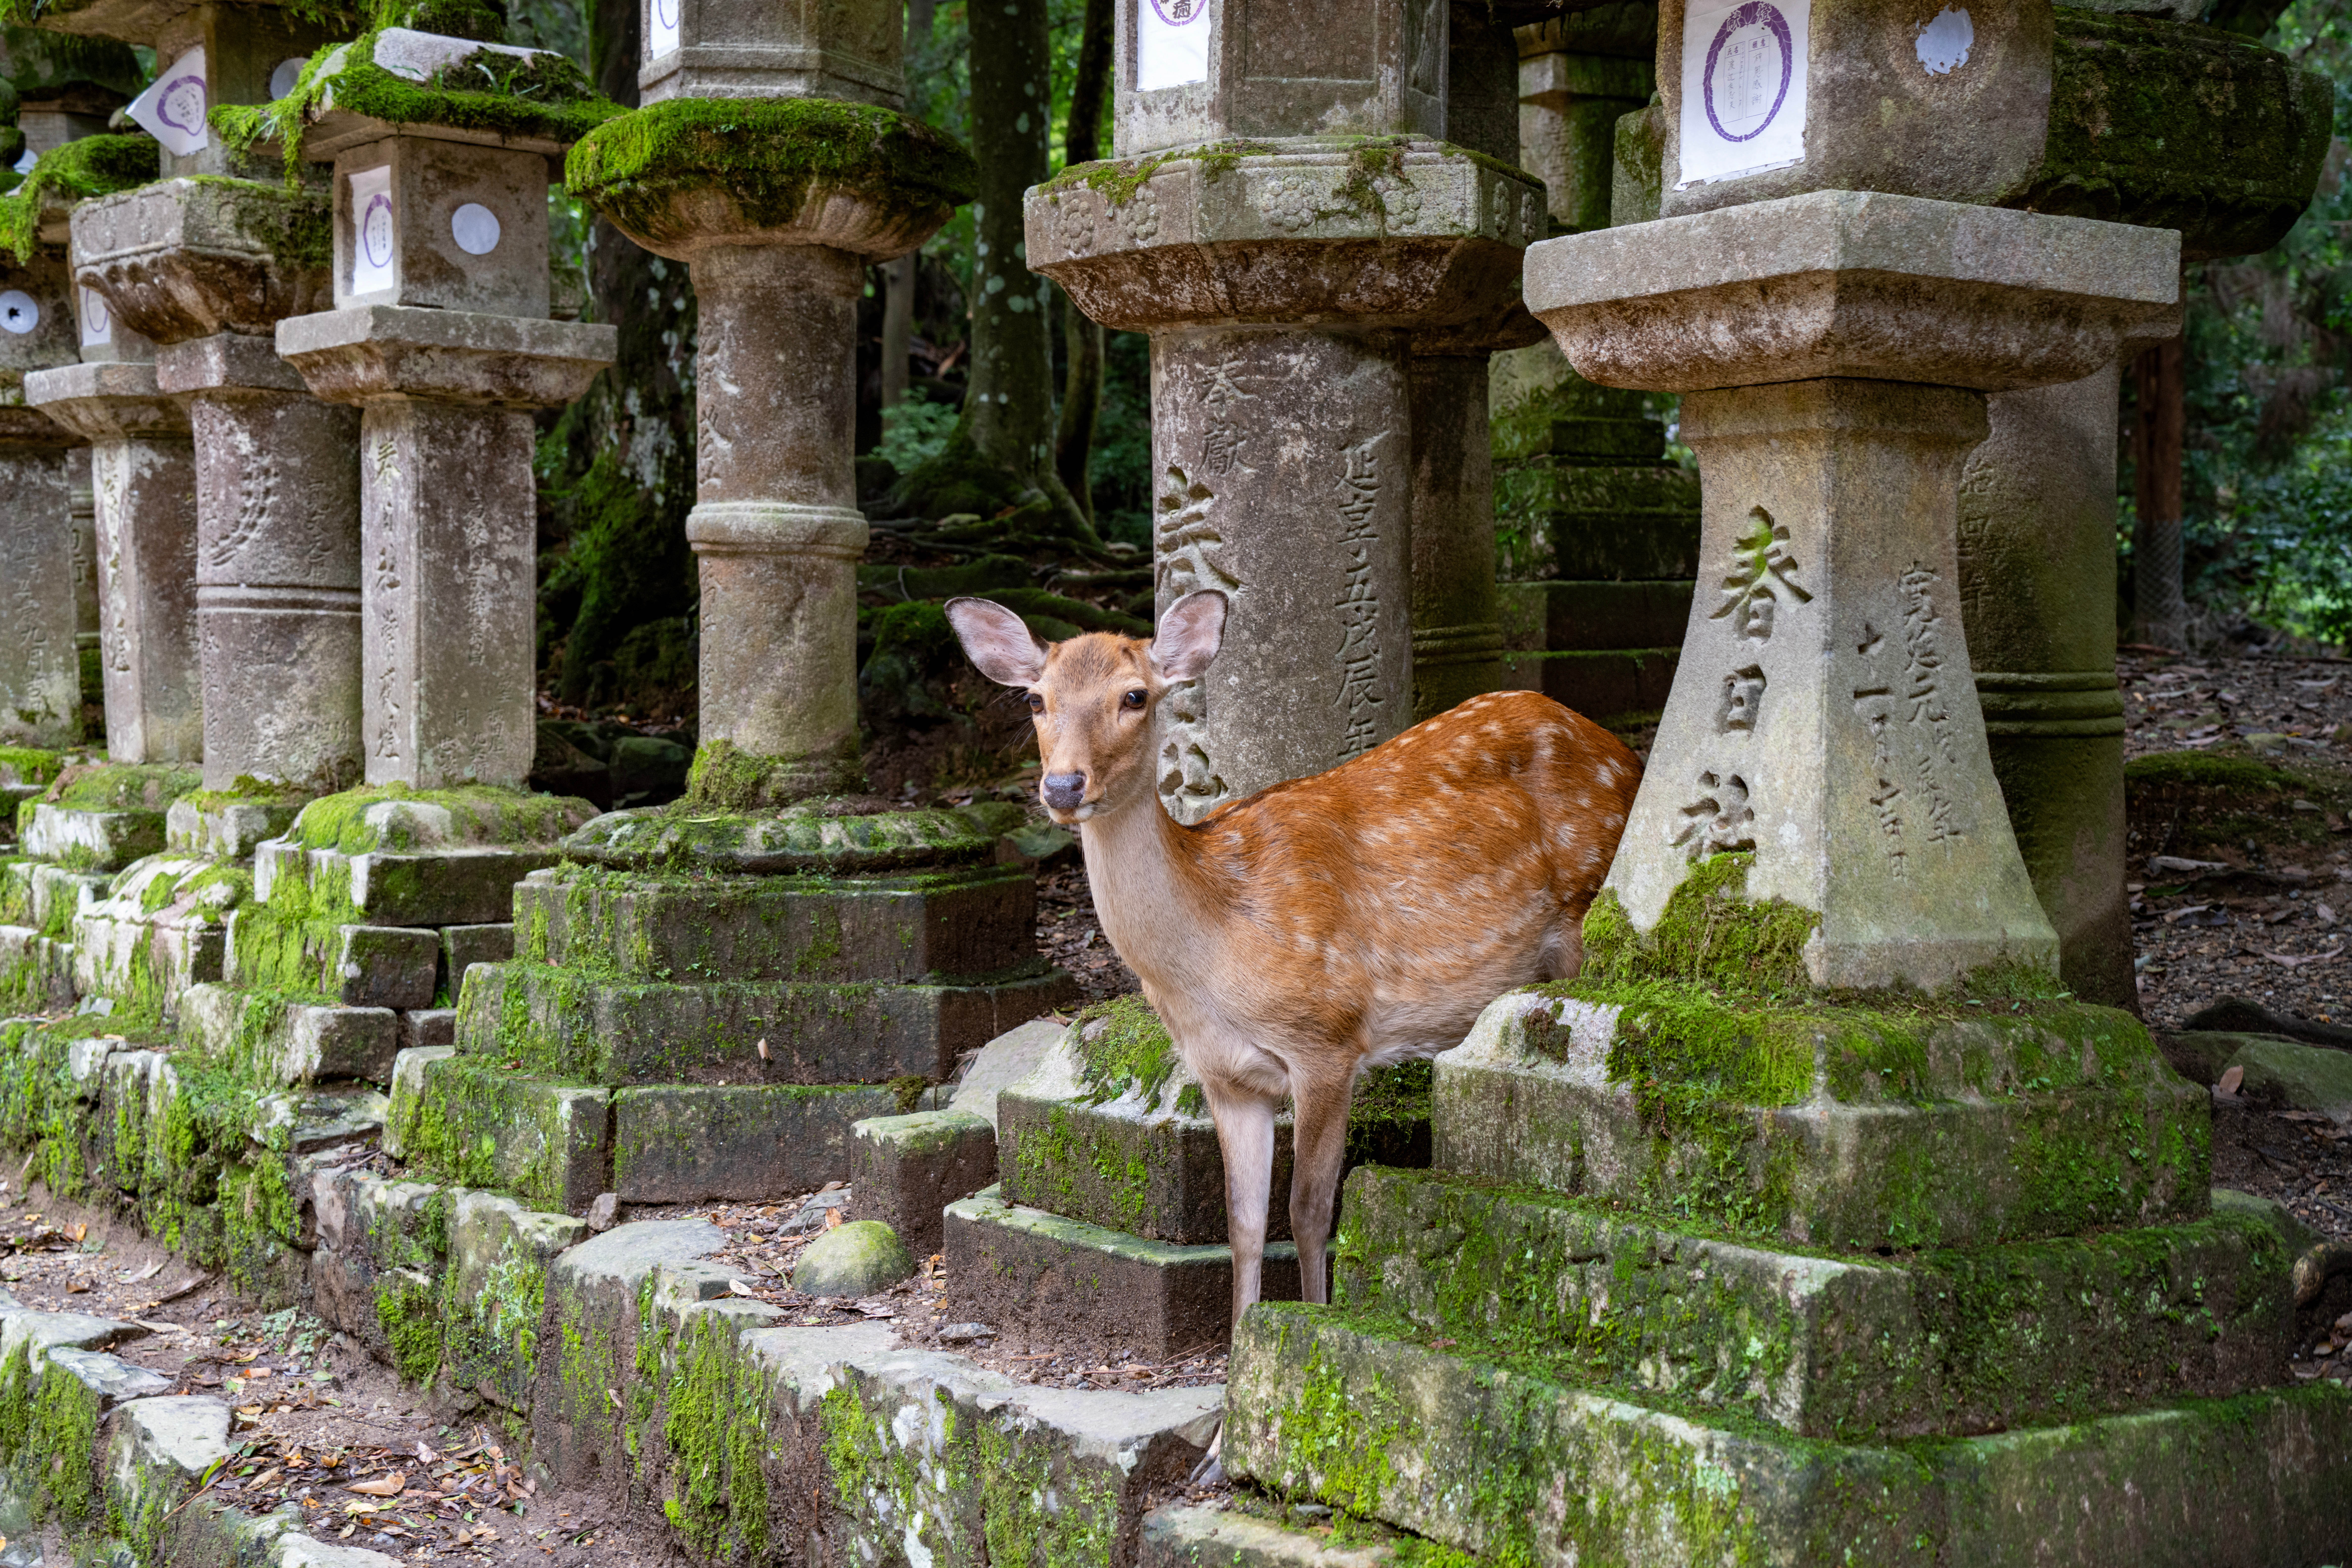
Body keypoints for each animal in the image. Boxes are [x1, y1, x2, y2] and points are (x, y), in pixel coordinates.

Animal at [946, 589, 1642, 1326]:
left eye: (1134, 696)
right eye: (1036, 699)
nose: (1063, 787)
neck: (1212, 952)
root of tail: (1627, 756)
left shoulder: (1328, 1038)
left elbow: (1308, 1213)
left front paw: (1309, 1320)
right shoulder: (1225, 1077)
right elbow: (1244, 1225)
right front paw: (1237, 1343)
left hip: (1583, 918)